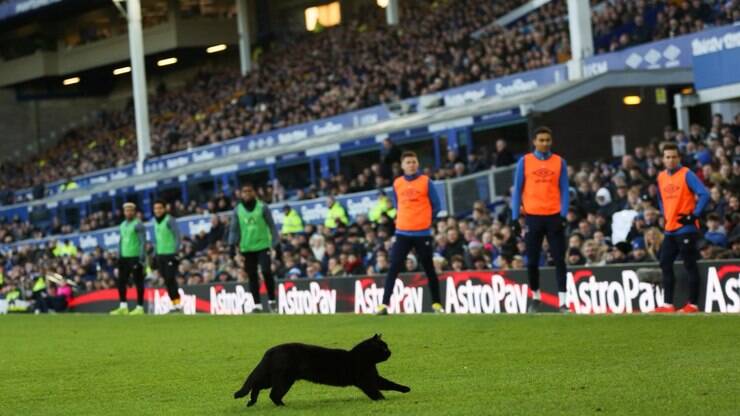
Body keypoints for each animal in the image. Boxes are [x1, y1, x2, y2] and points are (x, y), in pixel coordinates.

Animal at [234, 334, 410, 406]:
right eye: (384, 348)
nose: (390, 352)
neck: (364, 358)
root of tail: (271, 350)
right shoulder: (366, 380)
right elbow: (376, 391)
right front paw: (383, 400)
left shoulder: (374, 378)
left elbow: (390, 383)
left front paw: (406, 389)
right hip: (283, 379)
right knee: (273, 394)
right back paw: (283, 406)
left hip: (272, 378)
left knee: (257, 386)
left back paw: (251, 402)